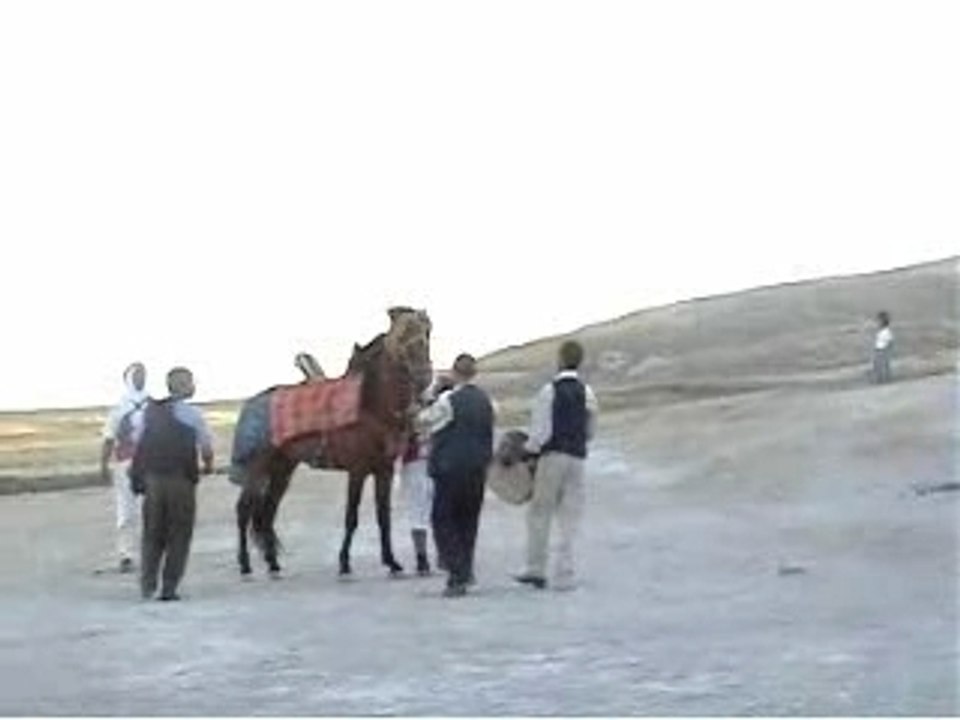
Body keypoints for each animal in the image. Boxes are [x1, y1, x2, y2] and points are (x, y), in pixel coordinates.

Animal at [230, 307, 433, 577]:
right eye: (401, 337)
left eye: (426, 333)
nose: (424, 377)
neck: (370, 405)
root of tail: (252, 403)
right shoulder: (358, 470)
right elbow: (351, 517)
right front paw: (344, 562)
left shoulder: (385, 470)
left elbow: (383, 517)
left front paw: (391, 561)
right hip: (258, 467)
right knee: (244, 509)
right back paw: (244, 564)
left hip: (282, 469)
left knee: (267, 513)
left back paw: (273, 563)